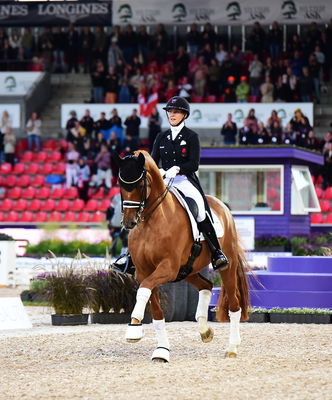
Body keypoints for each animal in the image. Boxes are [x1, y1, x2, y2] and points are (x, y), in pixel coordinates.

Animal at [114, 150, 249, 362]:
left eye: (140, 184)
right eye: (121, 184)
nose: (129, 222)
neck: (152, 221)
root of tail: (222, 206)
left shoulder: (167, 268)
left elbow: (143, 290)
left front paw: (134, 328)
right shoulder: (144, 272)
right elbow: (156, 311)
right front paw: (161, 350)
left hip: (226, 267)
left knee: (234, 305)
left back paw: (232, 347)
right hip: (187, 270)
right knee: (206, 285)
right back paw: (205, 330)